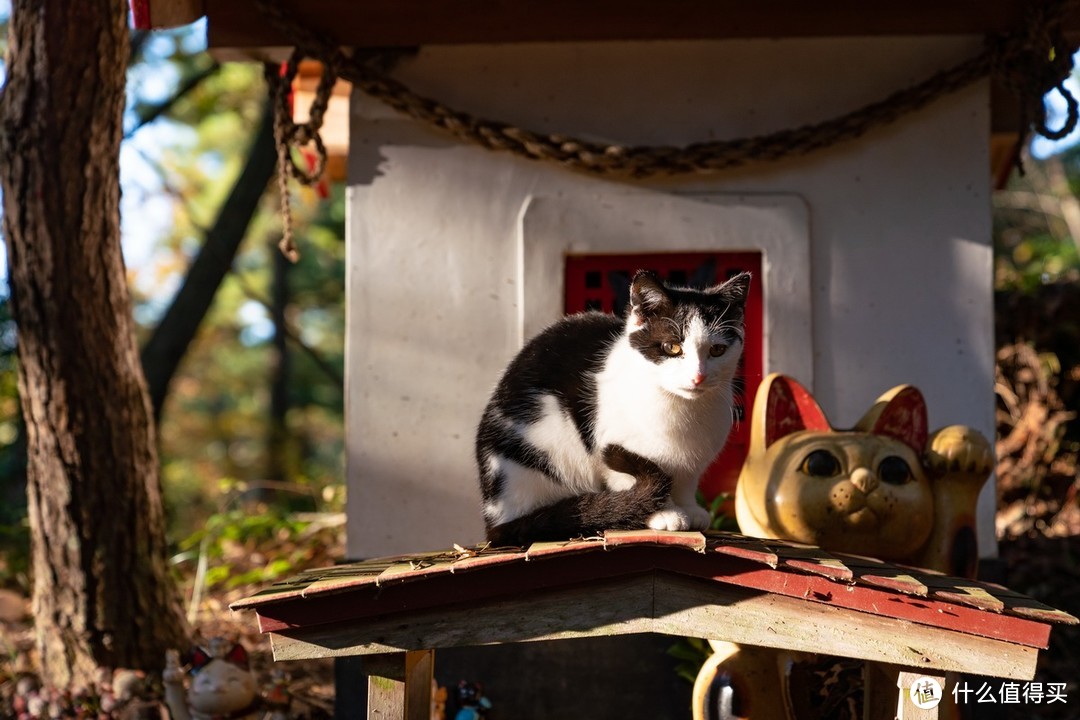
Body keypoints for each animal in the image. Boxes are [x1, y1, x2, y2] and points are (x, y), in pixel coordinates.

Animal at [477, 269, 747, 546]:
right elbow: (626, 476)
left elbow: (686, 483)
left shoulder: (693, 463)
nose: (698, 377)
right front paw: (664, 513)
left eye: (717, 350)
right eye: (671, 347)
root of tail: (493, 518)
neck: (680, 408)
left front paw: (690, 510)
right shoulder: (608, 441)